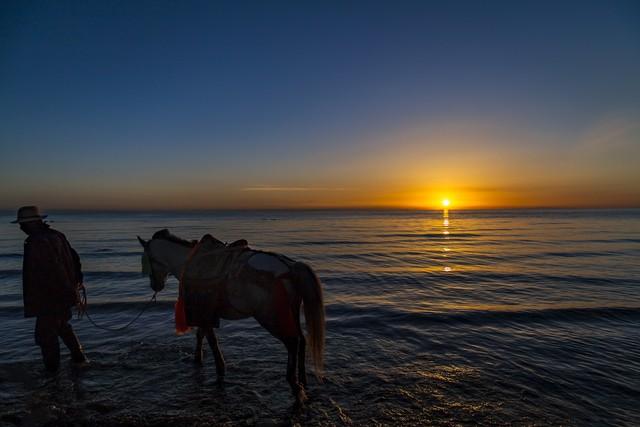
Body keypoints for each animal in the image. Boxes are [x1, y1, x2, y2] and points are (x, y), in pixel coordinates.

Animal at [136, 229, 324, 402]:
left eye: (148, 259)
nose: (155, 285)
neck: (187, 262)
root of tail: (290, 268)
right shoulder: (204, 312)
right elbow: (201, 336)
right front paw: (198, 359)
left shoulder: (204, 311)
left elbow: (212, 341)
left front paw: (220, 369)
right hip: (292, 312)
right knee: (302, 340)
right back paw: (303, 380)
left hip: (272, 318)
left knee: (292, 342)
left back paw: (295, 386)